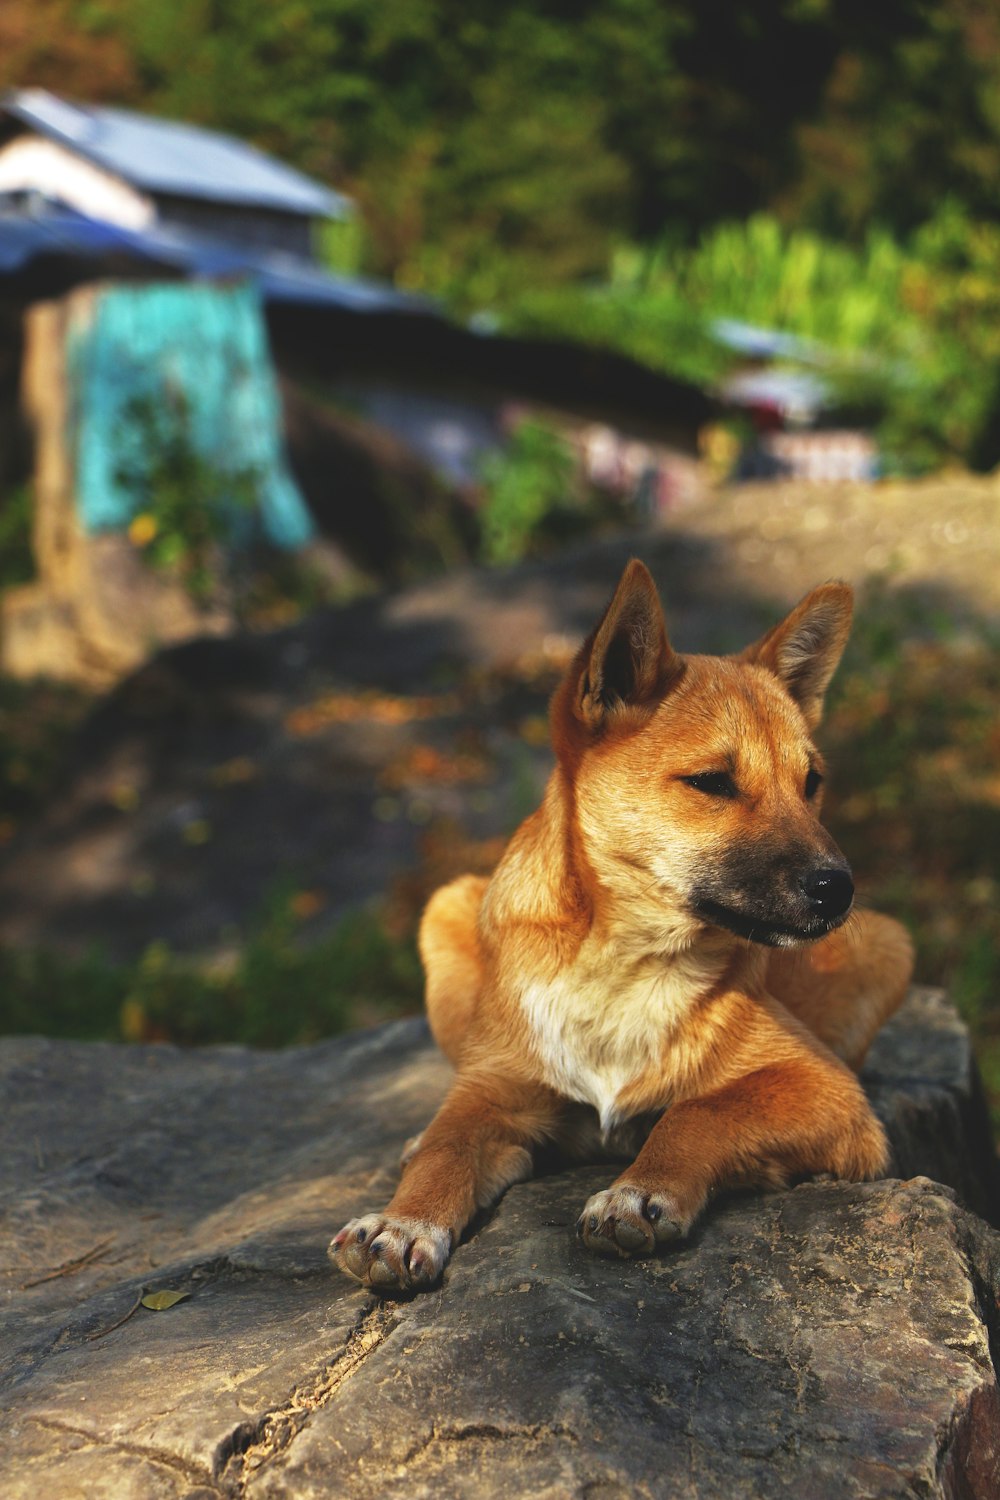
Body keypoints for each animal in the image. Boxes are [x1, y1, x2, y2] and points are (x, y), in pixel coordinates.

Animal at [329, 564, 917, 1290]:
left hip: (889, 950)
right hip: (444, 912)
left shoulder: (826, 1090)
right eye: (712, 782)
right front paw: (402, 1221)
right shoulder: (497, 1083)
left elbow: (699, 1111)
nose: (839, 889)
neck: (623, 966)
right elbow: (449, 1146)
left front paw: (641, 1191)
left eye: (811, 783)